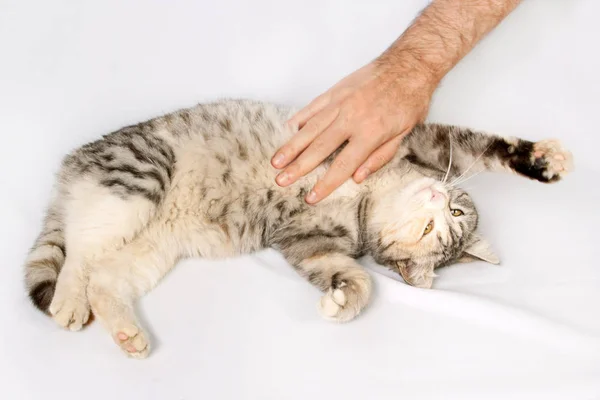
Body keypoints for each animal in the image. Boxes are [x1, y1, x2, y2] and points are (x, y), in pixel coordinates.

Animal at [23, 98, 576, 358]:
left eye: (436, 232)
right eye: (445, 221)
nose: (440, 199)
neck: (368, 197)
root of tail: (70, 172)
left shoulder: (309, 241)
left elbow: (357, 277)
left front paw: (341, 300)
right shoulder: (419, 143)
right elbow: (478, 148)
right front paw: (543, 159)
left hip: (151, 248)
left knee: (103, 277)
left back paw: (127, 334)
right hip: (138, 179)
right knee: (79, 252)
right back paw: (68, 301)